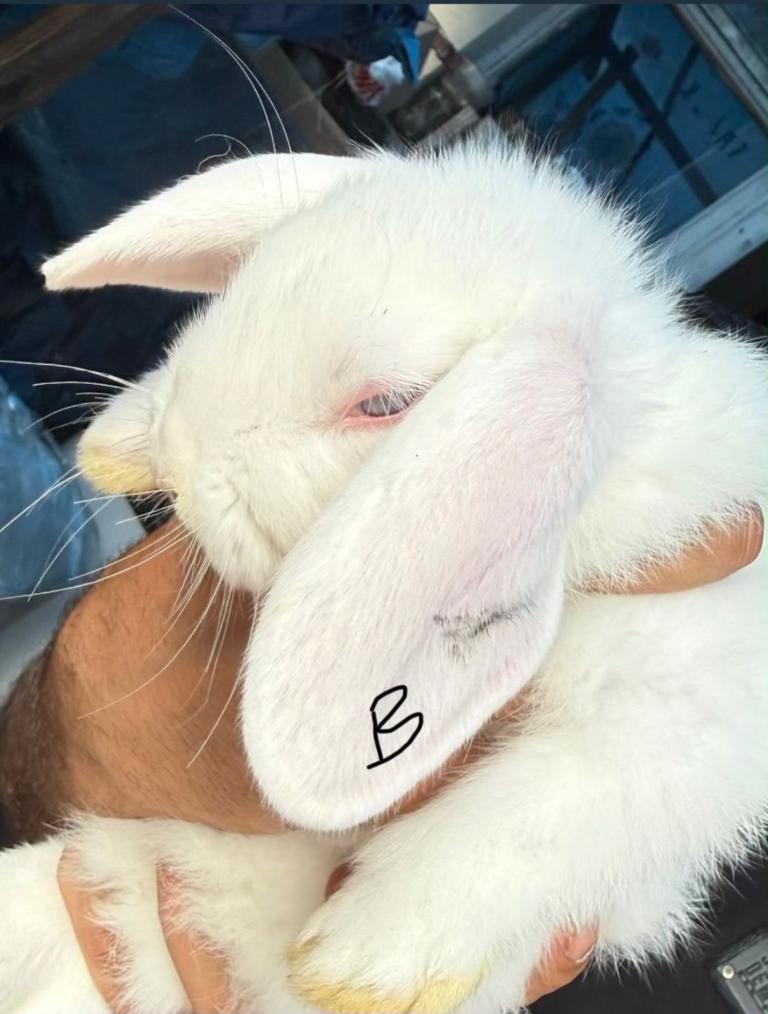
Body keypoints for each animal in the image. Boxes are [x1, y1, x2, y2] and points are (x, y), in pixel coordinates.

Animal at [1, 135, 766, 1014]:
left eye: (383, 404)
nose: (180, 460)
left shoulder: (696, 703)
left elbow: (565, 795)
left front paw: (364, 955)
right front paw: (118, 436)